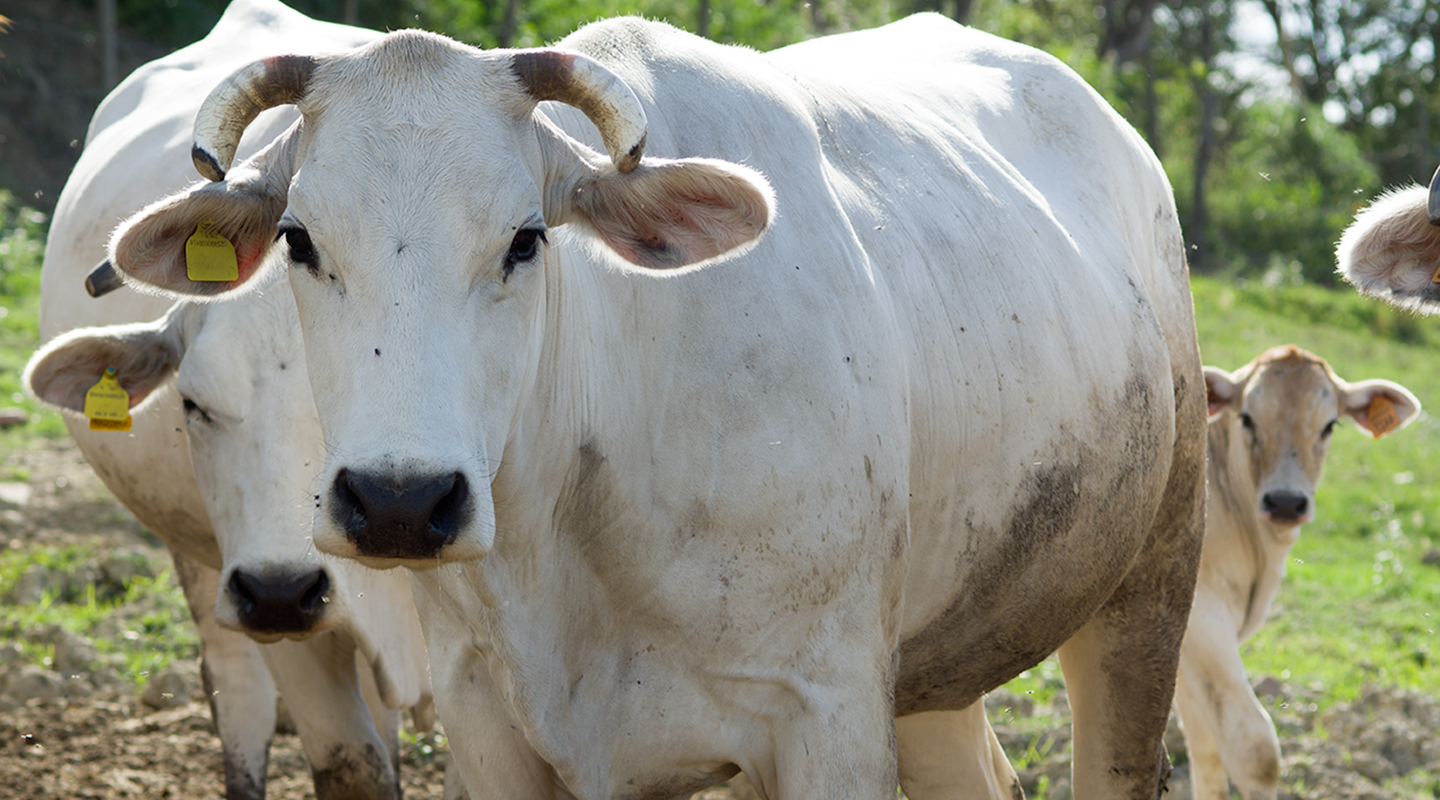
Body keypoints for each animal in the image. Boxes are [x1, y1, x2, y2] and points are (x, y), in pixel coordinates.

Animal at [101, 12, 1209, 800]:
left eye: (525, 238)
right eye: (298, 238)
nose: (400, 502)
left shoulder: (826, 718)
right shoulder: (488, 726)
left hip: (1149, 582)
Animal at [1180, 346, 1416, 800]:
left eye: (1329, 425)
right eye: (1247, 418)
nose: (1286, 502)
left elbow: (1205, 747)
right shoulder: (1203, 616)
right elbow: (1253, 750)